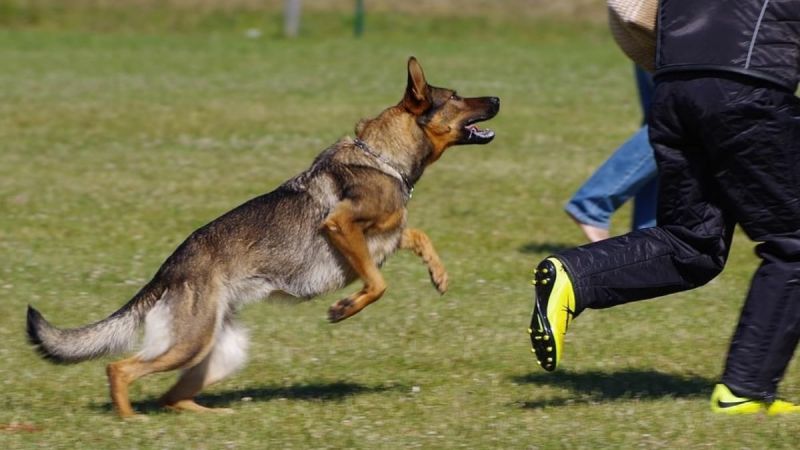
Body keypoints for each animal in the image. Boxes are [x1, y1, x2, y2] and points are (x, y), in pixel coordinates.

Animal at [26, 57, 500, 418]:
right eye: (456, 96)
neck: (384, 157)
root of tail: (168, 270)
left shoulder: (386, 234)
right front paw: (344, 308)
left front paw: (439, 275)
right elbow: (377, 283)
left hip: (218, 351)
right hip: (189, 342)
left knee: (171, 397)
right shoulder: (341, 226)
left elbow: (417, 235)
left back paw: (213, 417)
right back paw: (130, 421)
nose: (497, 98)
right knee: (120, 371)